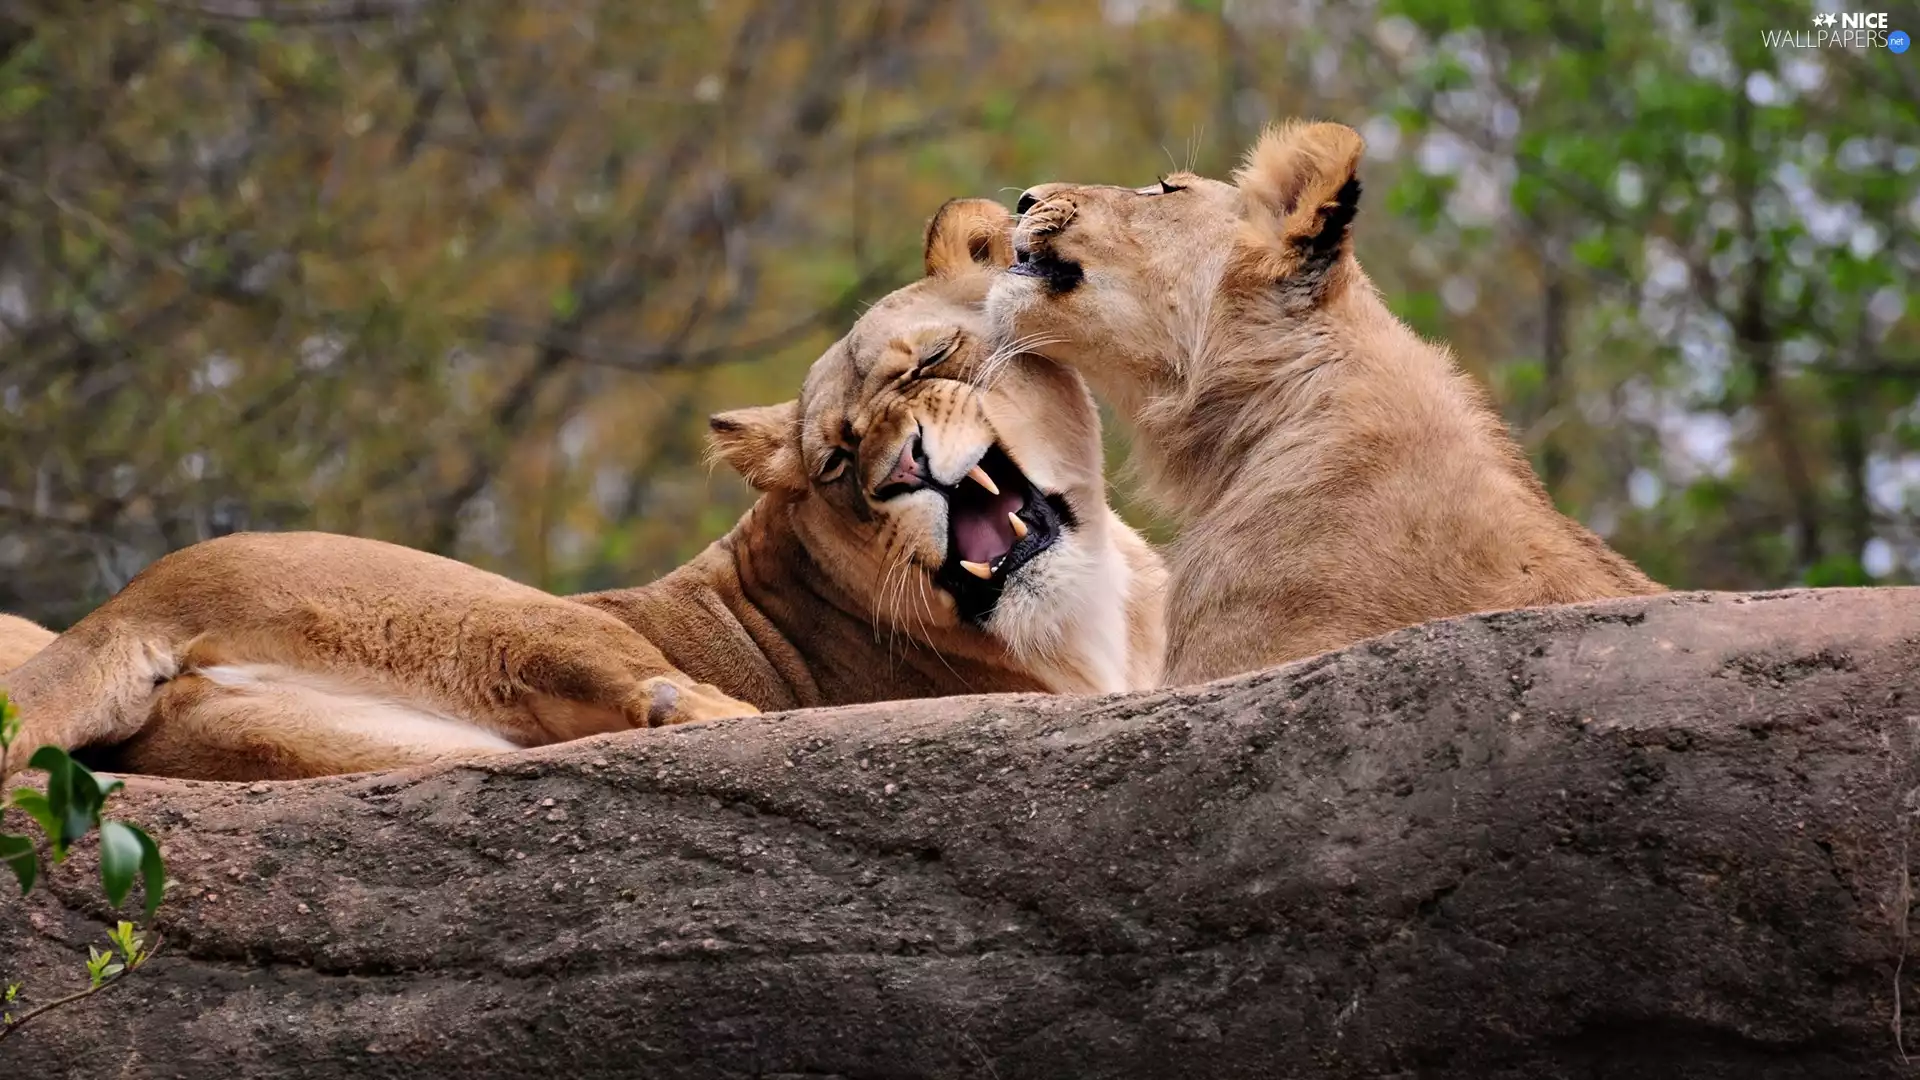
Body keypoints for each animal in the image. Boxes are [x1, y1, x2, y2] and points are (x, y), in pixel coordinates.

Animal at [0, 198, 1165, 781]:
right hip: (493, 604)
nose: (902, 469)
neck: (1099, 601)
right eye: (837, 462)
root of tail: (132, 606)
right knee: (662, 698)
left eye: (926, 364)